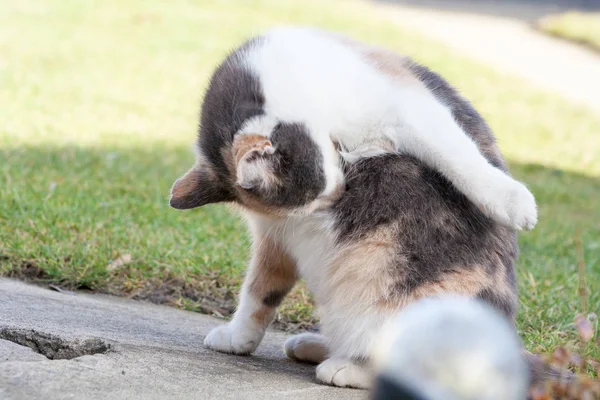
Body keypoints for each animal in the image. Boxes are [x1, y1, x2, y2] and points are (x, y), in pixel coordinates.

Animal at [170, 27, 536, 388]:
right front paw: (238, 337)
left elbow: (455, 155)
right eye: (315, 200)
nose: (340, 195)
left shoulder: (405, 108)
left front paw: (512, 202)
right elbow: (260, 290)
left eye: (326, 192)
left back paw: (347, 367)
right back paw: (314, 345)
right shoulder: (275, 233)